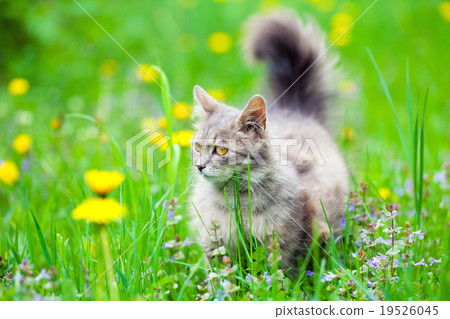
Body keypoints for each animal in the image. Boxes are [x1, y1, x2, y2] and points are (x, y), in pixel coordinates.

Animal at [188, 11, 350, 272]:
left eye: (221, 150)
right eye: (198, 147)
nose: (199, 166)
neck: (238, 201)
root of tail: (292, 108)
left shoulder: (283, 241)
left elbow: (279, 273)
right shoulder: (215, 240)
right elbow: (221, 275)